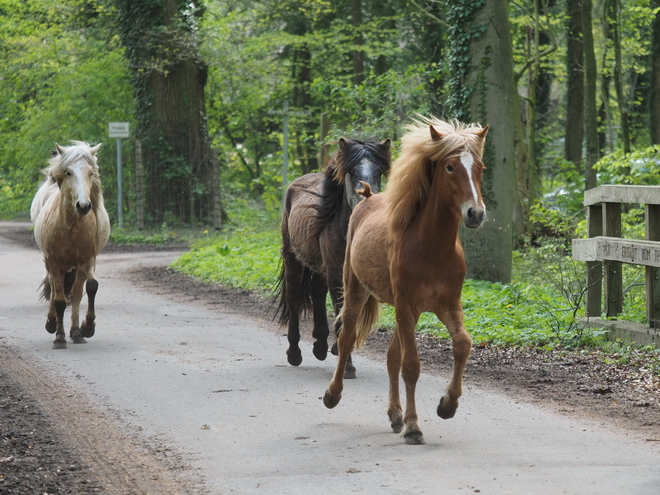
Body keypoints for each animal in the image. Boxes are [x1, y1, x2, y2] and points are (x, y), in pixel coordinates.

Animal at [31, 141, 110, 350]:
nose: (83, 205)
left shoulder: (86, 261)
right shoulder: (54, 262)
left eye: (91, 172)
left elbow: (89, 287)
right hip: (52, 264)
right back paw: (52, 324)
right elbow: (59, 299)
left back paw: (75, 332)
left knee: (75, 294)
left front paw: (86, 328)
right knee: (54, 290)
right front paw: (59, 337)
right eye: (68, 172)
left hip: (75, 267)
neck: (71, 226)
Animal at [274, 138, 390, 378]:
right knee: (294, 297)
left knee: (317, 293)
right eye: (352, 172)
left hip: (319, 268)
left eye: (379, 172)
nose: (367, 202)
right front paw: (348, 367)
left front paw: (340, 351)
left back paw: (321, 346)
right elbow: (342, 314)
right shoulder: (337, 275)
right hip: (293, 260)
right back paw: (294, 353)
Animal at [324, 117, 490, 446]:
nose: (475, 213)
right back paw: (333, 395)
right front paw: (414, 427)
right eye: (450, 167)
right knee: (347, 337)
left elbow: (462, 344)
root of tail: (366, 198)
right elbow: (411, 366)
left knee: (391, 357)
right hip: (357, 291)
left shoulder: (447, 305)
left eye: (480, 166)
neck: (431, 248)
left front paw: (447, 405)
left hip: (405, 313)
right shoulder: (406, 306)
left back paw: (395, 415)